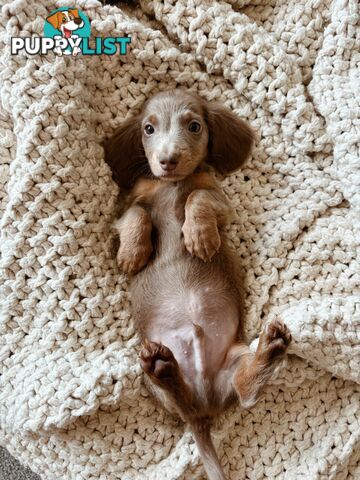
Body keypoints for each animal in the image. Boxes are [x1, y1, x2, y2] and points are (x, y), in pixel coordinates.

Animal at [105, 91, 292, 480]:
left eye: (194, 126)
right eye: (148, 129)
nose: (168, 160)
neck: (171, 184)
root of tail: (204, 407)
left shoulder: (220, 200)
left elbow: (198, 198)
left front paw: (199, 236)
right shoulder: (126, 207)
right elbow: (137, 215)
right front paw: (132, 253)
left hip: (234, 359)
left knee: (245, 391)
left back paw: (269, 349)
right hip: (156, 388)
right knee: (179, 397)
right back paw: (164, 368)